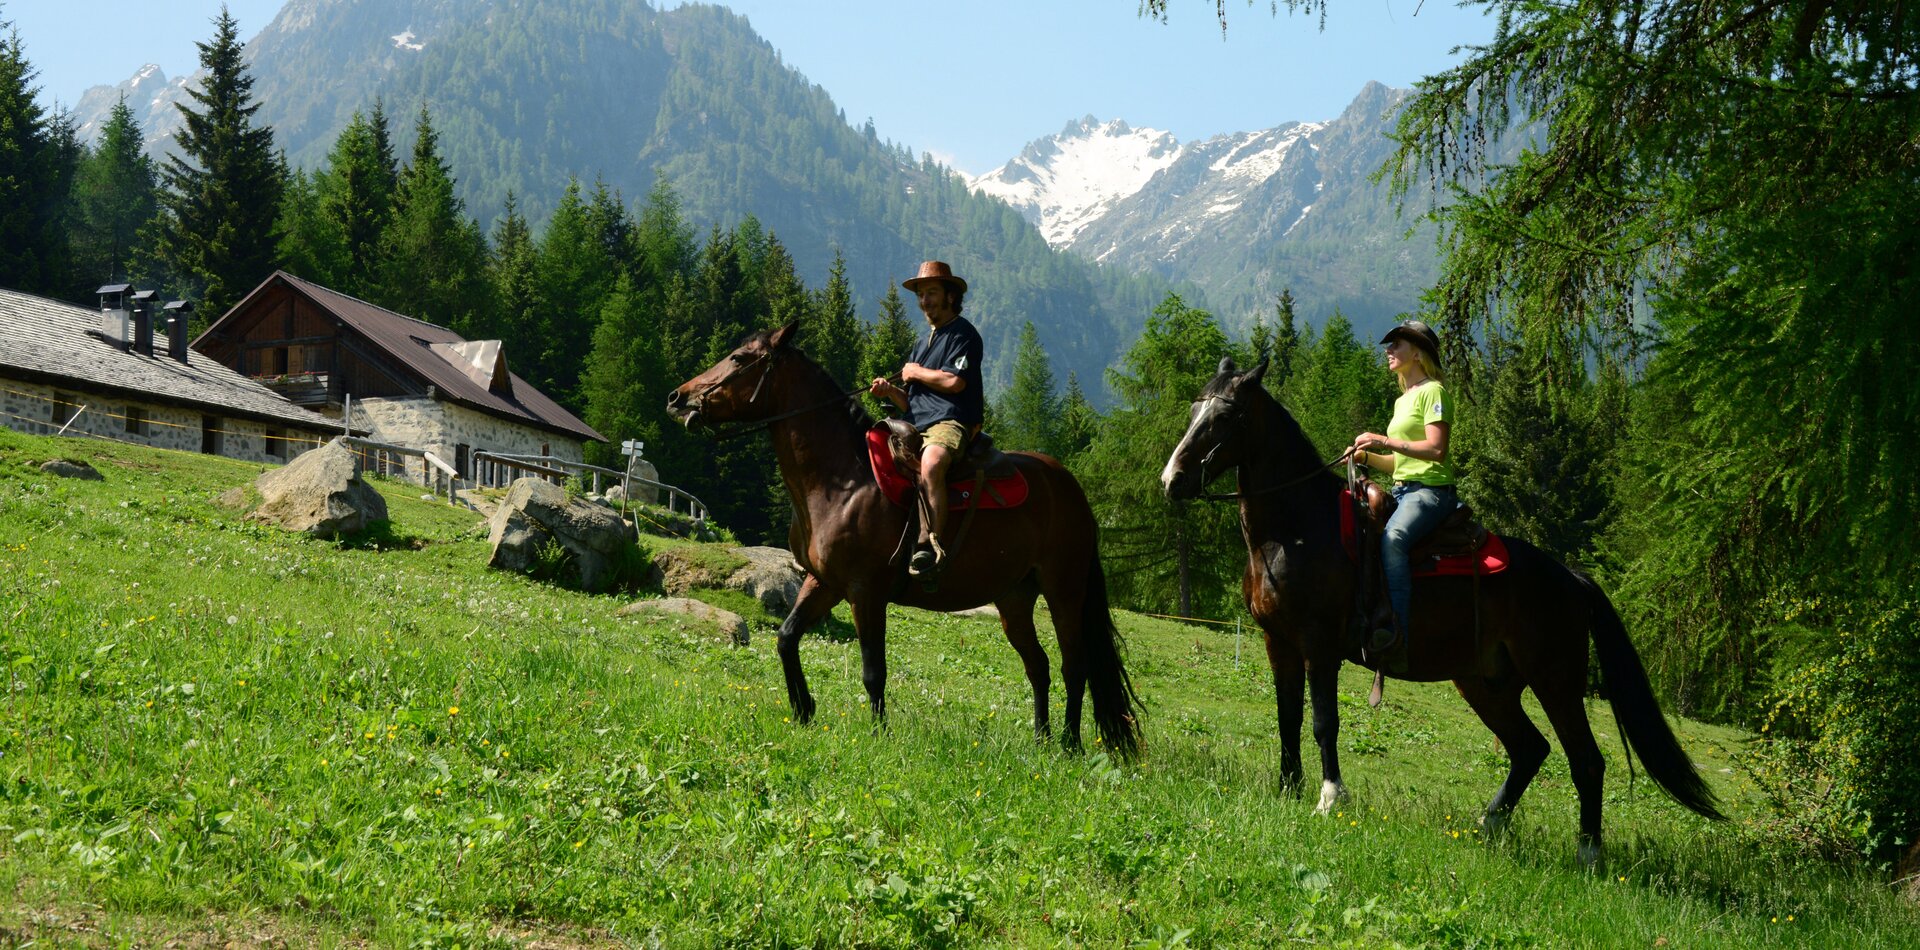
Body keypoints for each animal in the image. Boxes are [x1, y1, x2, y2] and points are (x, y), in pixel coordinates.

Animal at [668, 326, 1136, 760]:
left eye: (739, 357)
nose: (677, 398)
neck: (843, 481)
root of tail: (1070, 488)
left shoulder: (865, 592)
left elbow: (873, 670)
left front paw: (878, 735)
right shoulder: (824, 583)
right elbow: (786, 637)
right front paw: (804, 710)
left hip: (1064, 591)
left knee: (1074, 665)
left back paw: (1069, 744)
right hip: (1014, 598)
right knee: (1038, 666)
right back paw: (1040, 741)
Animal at [1152, 356, 1728, 871]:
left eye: (1225, 415)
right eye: (1195, 408)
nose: (1172, 480)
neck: (1296, 529)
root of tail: (1572, 579)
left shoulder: (1319, 647)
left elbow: (1322, 722)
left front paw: (1330, 797)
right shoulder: (1279, 644)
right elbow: (1287, 718)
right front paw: (1287, 790)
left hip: (1556, 680)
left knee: (1585, 759)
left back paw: (1588, 855)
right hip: (1485, 683)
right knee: (1530, 749)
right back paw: (1488, 825)